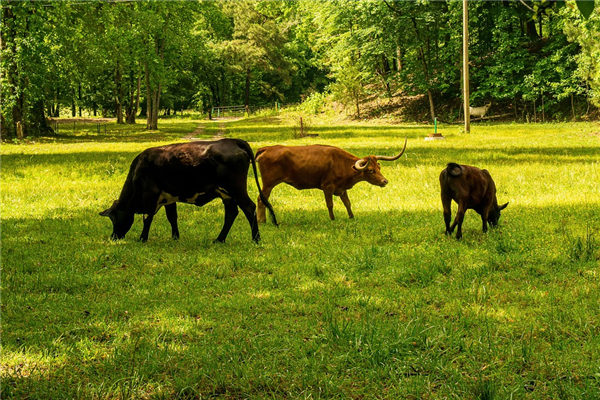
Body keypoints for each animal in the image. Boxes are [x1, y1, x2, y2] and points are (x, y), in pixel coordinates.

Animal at [99, 138, 278, 244]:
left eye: (114, 218)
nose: (113, 237)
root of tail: (231, 141)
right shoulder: (168, 198)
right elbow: (172, 217)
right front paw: (175, 237)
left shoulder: (151, 195)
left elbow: (147, 218)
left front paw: (142, 238)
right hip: (226, 193)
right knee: (231, 213)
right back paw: (219, 239)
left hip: (236, 188)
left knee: (248, 207)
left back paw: (256, 239)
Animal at [253, 138, 408, 222]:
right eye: (370, 170)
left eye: (379, 167)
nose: (384, 181)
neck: (342, 163)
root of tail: (267, 148)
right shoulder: (327, 187)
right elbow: (330, 204)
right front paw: (332, 219)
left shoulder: (342, 189)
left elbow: (348, 203)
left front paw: (352, 217)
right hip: (268, 183)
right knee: (261, 199)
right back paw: (262, 221)